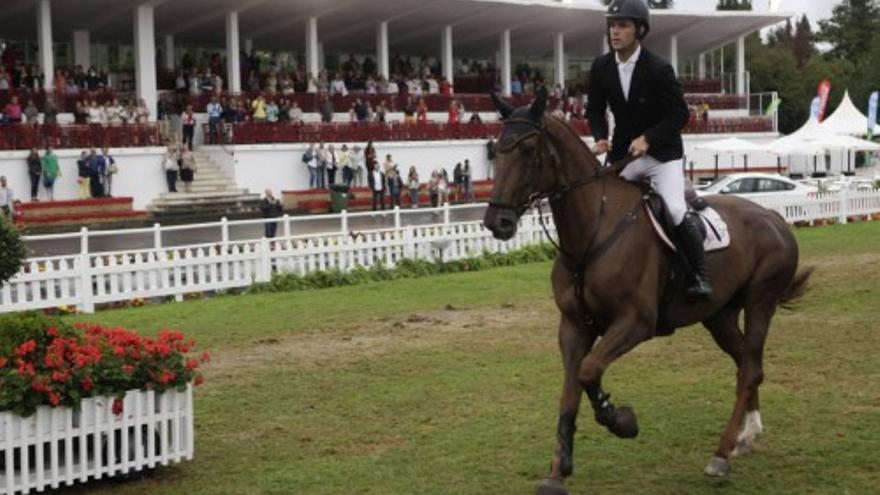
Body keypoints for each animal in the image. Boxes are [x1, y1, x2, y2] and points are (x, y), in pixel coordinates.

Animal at [482, 90, 812, 495]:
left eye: (528, 150)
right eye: (496, 151)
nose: (497, 223)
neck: (591, 230)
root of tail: (777, 219)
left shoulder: (635, 323)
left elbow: (589, 372)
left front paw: (621, 420)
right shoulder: (573, 326)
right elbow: (569, 391)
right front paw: (558, 472)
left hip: (760, 302)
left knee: (749, 370)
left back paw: (720, 455)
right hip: (719, 316)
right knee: (748, 364)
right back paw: (747, 436)